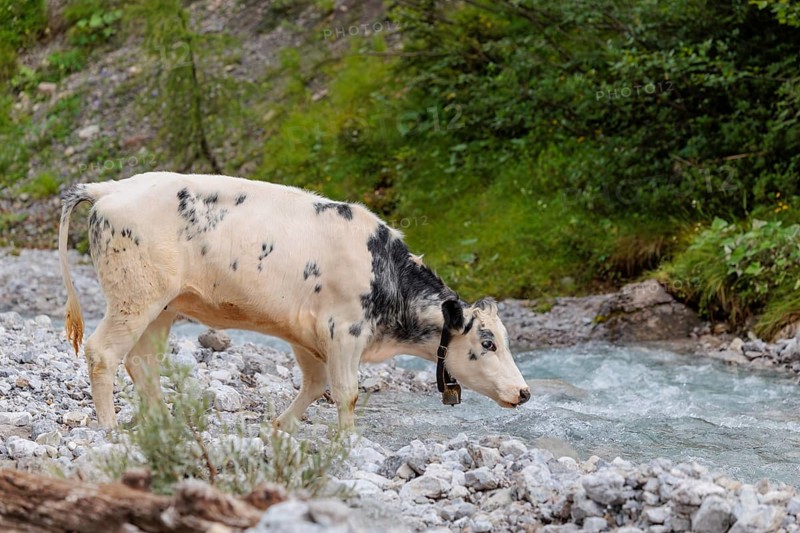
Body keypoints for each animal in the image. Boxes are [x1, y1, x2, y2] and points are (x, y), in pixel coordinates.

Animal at [58, 172, 531, 430]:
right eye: (488, 342)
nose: (525, 392)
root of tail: (110, 188)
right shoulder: (344, 333)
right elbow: (346, 393)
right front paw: (347, 442)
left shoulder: (307, 335)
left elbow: (316, 385)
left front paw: (280, 426)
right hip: (134, 299)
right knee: (103, 353)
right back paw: (111, 427)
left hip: (162, 307)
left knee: (141, 363)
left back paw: (164, 421)